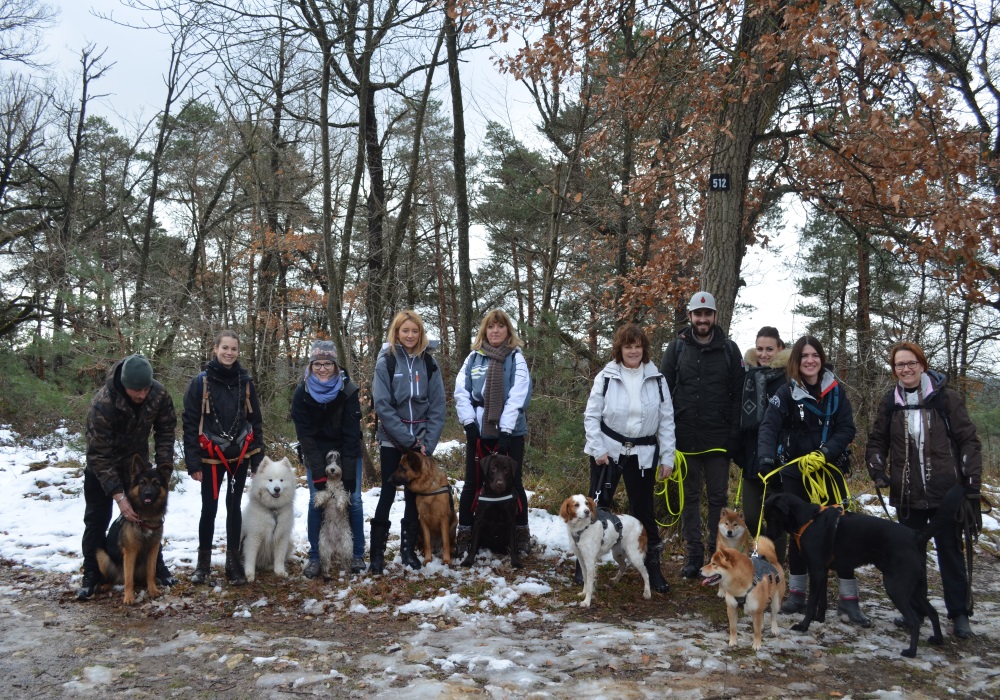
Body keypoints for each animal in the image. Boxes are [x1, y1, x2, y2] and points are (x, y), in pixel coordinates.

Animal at [95, 462, 170, 604]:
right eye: (142, 483)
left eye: (156, 483)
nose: (148, 494)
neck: (146, 517)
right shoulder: (130, 551)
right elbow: (129, 578)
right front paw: (129, 597)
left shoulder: (153, 549)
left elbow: (151, 573)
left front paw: (153, 590)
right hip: (101, 554)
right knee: (117, 578)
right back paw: (106, 585)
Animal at [760, 486, 964, 656]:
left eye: (771, 517)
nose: (766, 537)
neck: (808, 520)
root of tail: (915, 536)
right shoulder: (823, 572)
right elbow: (822, 601)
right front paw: (819, 620)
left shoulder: (816, 570)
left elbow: (811, 604)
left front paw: (803, 626)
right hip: (914, 588)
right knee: (933, 612)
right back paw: (937, 639)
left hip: (896, 587)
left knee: (915, 620)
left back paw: (911, 652)